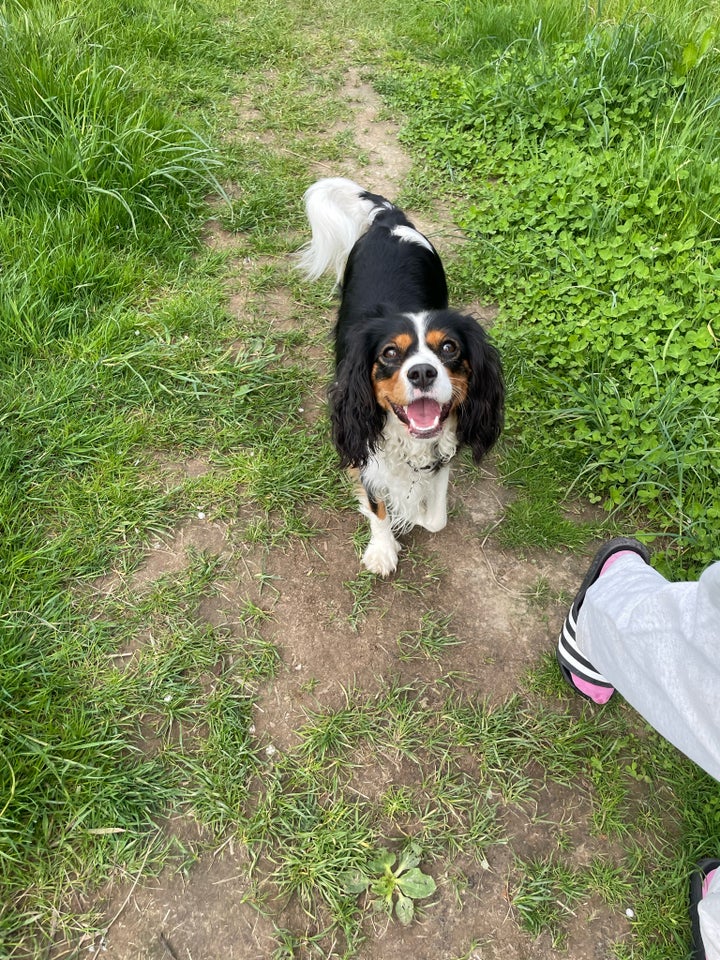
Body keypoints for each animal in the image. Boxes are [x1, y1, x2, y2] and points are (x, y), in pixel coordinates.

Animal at [296, 176, 504, 572]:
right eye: (390, 353)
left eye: (449, 348)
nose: (422, 373)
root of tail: (388, 220)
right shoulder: (362, 441)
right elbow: (377, 503)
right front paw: (383, 548)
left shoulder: (441, 450)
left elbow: (435, 517)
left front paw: (413, 513)